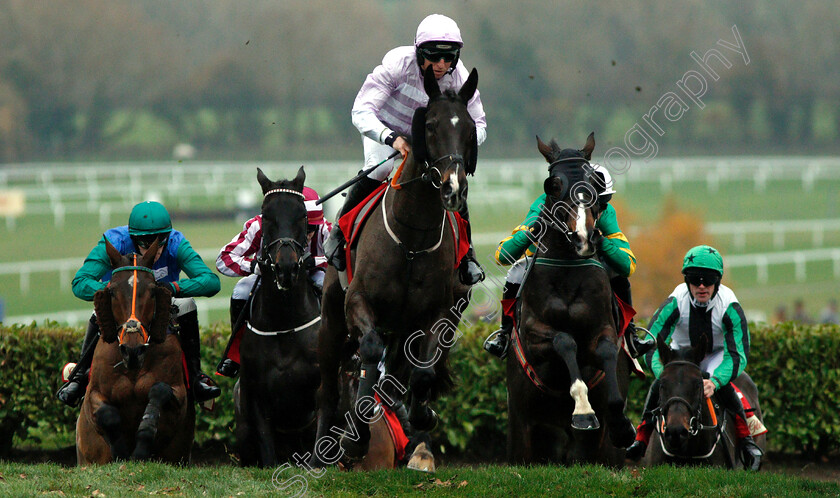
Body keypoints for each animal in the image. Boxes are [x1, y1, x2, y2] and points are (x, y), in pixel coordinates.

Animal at [75, 239, 194, 464]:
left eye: (152, 291)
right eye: (112, 291)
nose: (132, 351)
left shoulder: (180, 396)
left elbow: (159, 391)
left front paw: (139, 450)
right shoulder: (92, 396)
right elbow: (107, 414)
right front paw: (121, 452)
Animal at [312, 66, 480, 470]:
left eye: (469, 128)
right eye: (430, 125)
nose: (453, 188)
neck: (411, 241)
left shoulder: (435, 314)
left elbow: (422, 374)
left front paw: (422, 421)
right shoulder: (358, 301)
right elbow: (370, 349)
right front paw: (356, 437)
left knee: (402, 377)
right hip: (331, 320)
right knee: (328, 382)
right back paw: (323, 446)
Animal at [506, 133, 636, 466]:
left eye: (594, 181)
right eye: (554, 184)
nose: (583, 238)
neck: (566, 271)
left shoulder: (603, 328)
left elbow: (605, 350)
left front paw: (619, 423)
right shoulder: (533, 334)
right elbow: (564, 340)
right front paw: (583, 410)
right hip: (523, 434)